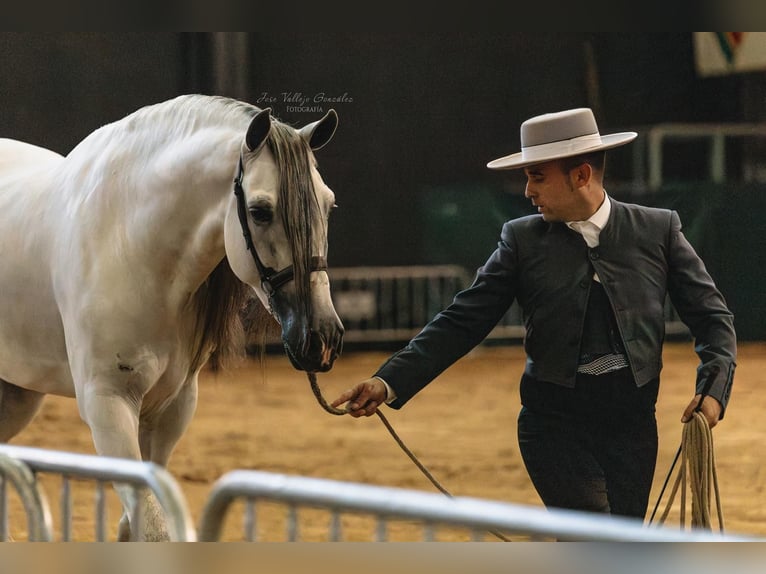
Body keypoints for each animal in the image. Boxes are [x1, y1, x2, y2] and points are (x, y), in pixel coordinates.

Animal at [0, 94, 344, 540]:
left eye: (328, 203)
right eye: (260, 211)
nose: (322, 337)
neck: (129, 242)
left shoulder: (171, 409)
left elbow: (138, 522)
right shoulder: (107, 405)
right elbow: (153, 526)